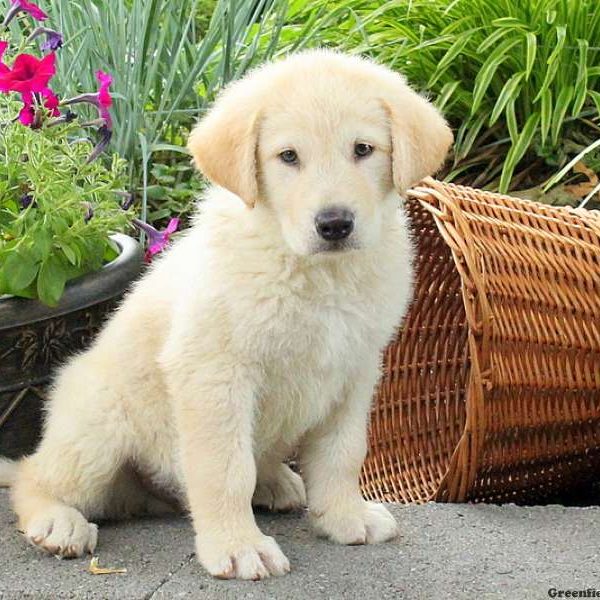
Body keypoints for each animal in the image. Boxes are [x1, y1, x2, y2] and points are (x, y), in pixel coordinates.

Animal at [0, 50, 450, 580]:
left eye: (363, 149)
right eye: (288, 156)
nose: (335, 224)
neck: (314, 273)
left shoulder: (354, 370)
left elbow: (342, 452)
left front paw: (344, 516)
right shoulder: (214, 372)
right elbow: (226, 469)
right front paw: (239, 546)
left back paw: (276, 482)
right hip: (98, 426)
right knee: (34, 476)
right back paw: (57, 522)